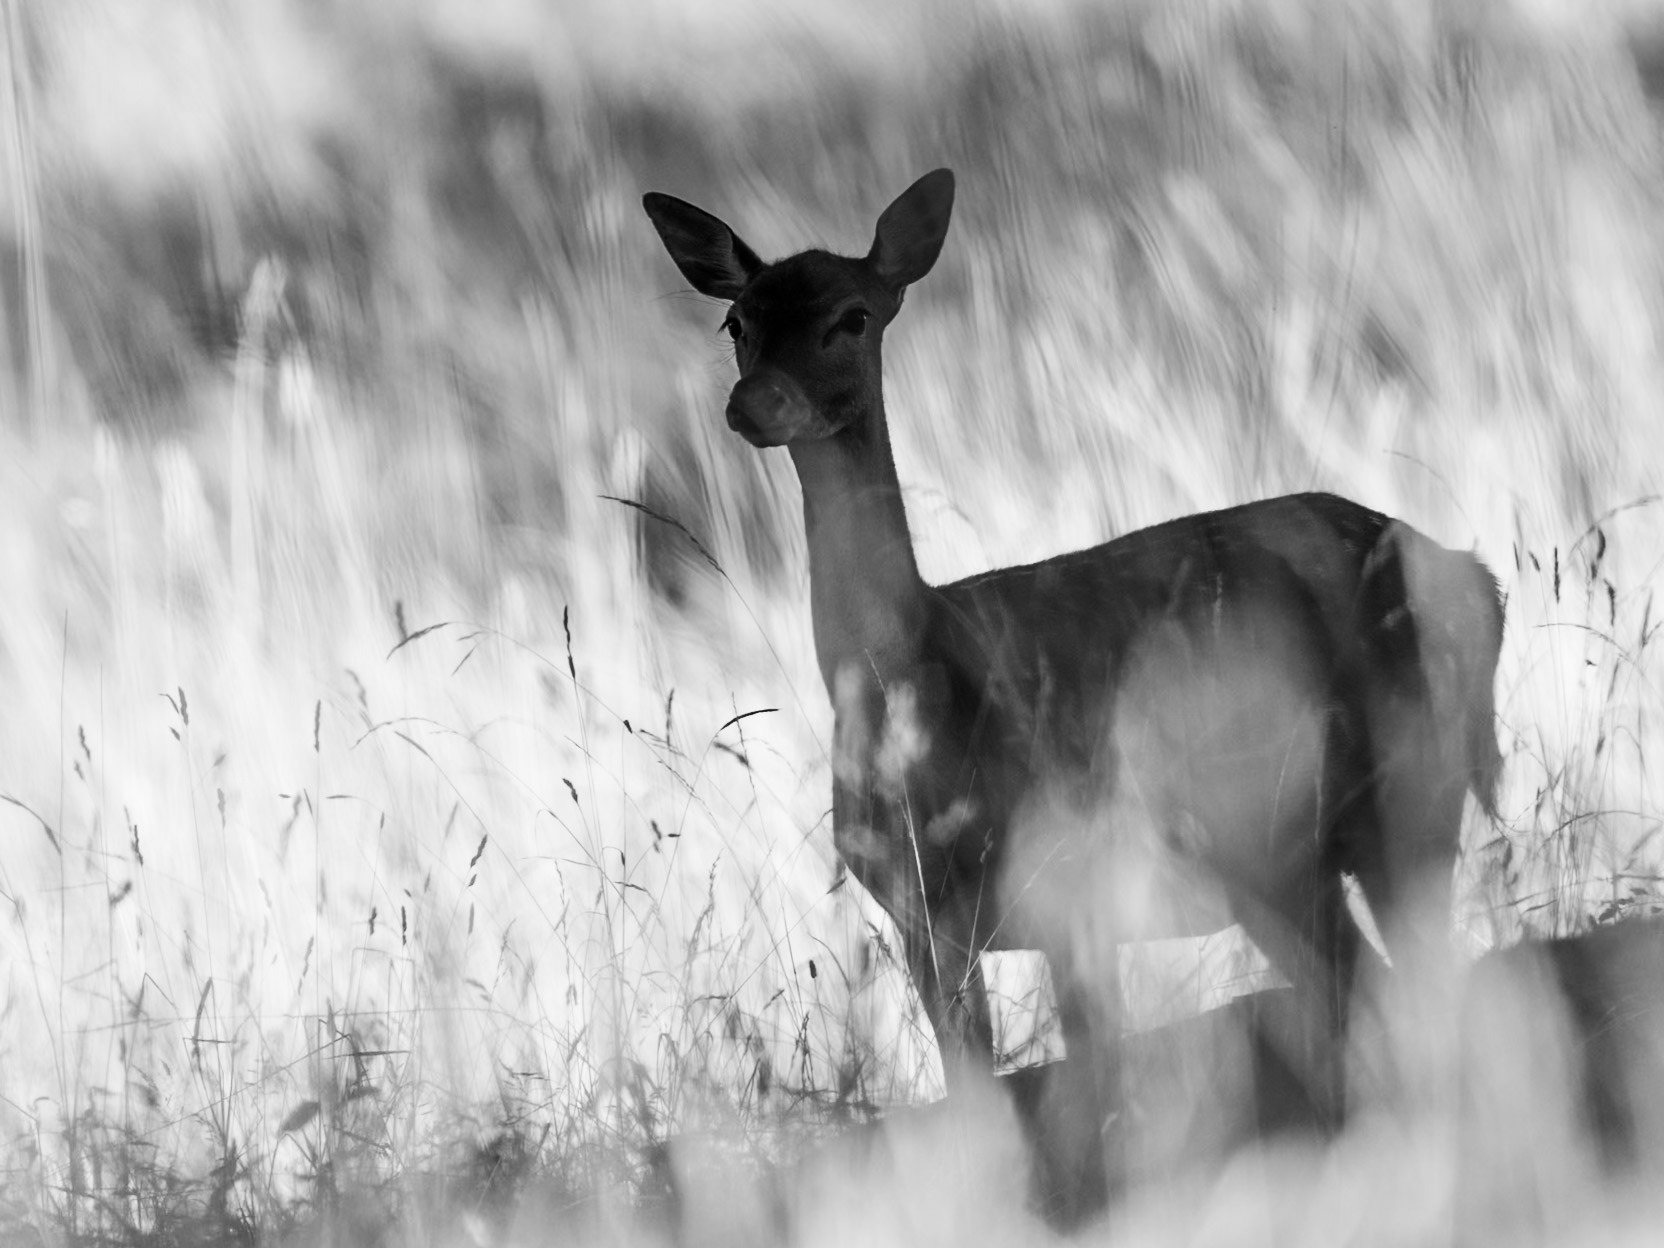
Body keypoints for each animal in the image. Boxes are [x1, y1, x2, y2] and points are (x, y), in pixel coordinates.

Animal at [643, 168, 1504, 1223]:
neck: (918, 684)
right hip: (1298, 852)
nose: (754, 401)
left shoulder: (1074, 877)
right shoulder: (925, 919)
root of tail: (1477, 577)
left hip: (1370, 800)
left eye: (853, 314)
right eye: (738, 320)